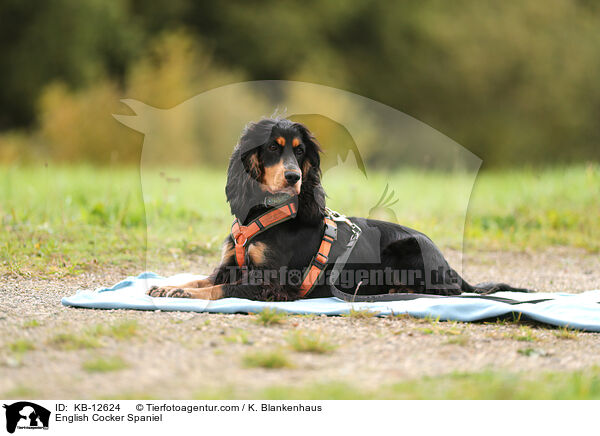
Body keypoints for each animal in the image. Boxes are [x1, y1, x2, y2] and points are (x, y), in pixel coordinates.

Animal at [148, 116, 532, 302]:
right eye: (272, 147)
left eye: (300, 151)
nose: (294, 177)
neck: (265, 214)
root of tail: (450, 267)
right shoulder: (230, 265)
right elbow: (204, 278)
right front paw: (169, 287)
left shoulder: (271, 282)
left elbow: (220, 289)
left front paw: (182, 292)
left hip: (408, 249)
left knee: (440, 292)